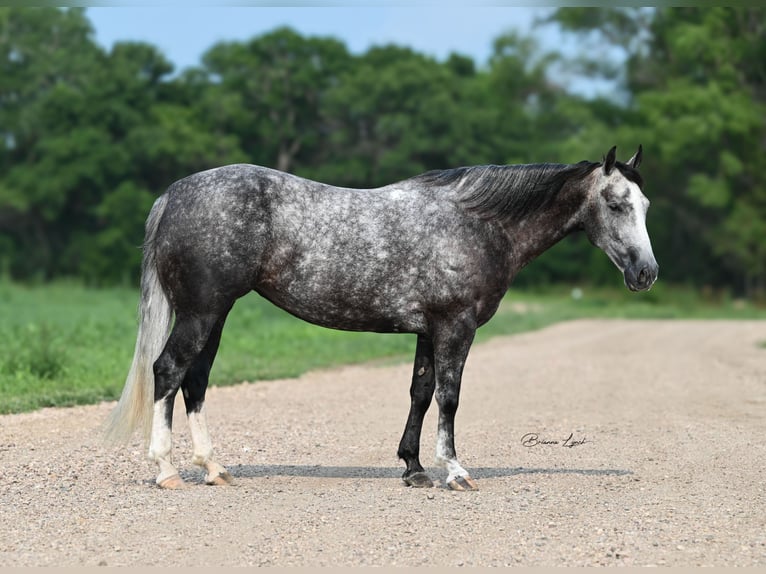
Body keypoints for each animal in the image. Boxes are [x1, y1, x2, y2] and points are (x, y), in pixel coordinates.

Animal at [105, 146, 660, 492]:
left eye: (646, 204)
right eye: (616, 204)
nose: (646, 273)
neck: (479, 224)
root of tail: (173, 194)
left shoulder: (427, 331)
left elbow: (420, 392)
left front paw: (413, 468)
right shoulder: (455, 327)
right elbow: (449, 397)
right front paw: (454, 472)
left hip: (215, 315)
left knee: (195, 380)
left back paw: (214, 468)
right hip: (202, 312)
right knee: (168, 371)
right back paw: (166, 470)